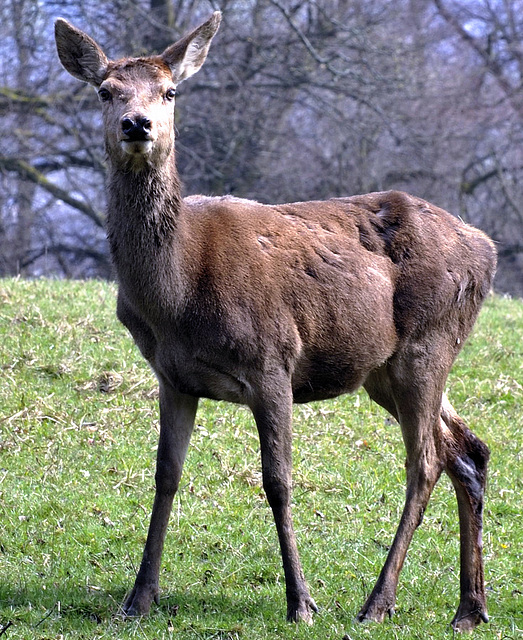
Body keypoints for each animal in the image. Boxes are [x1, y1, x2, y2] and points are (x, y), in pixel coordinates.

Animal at [55, 12, 498, 632]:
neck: (177, 295)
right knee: (468, 451)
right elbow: (165, 477)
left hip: (427, 342)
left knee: (426, 462)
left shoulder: (273, 358)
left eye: (169, 92)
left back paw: (377, 602)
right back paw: (469, 608)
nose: (137, 124)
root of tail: (489, 250)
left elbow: (278, 480)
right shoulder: (172, 376)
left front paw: (301, 602)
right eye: (105, 91)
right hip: (384, 368)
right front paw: (137, 598)